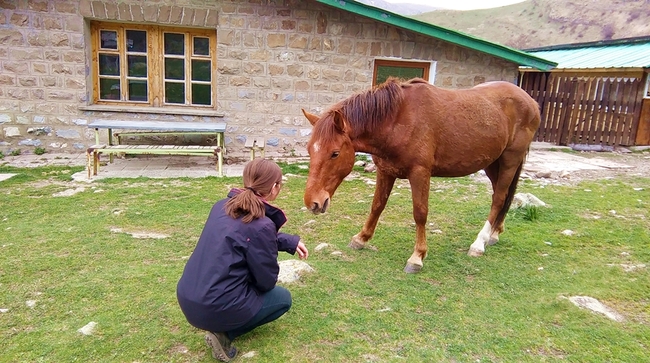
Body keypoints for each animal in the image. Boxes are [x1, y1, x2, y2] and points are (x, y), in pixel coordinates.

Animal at [302, 78, 540, 274]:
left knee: (499, 198)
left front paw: (417, 257)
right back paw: (494, 233)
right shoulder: (385, 171)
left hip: (510, 160)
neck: (398, 120)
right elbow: (377, 205)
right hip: (493, 163)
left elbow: (420, 213)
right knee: (501, 196)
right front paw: (361, 238)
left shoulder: (420, 173)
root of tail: (531, 102)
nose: (313, 202)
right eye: (310, 149)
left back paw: (479, 243)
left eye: (334, 153)